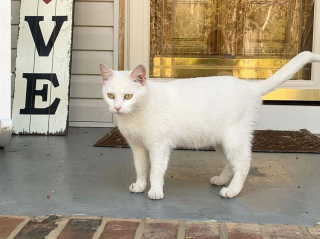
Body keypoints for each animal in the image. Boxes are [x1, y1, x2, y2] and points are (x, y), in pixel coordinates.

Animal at [99, 51, 320, 200]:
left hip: (234, 139)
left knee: (243, 164)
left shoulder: (158, 147)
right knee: (231, 164)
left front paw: (155, 191)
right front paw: (140, 186)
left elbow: (155, 171)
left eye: (128, 96)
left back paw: (232, 191)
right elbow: (141, 168)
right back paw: (222, 181)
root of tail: (250, 86)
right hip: (221, 143)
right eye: (110, 95)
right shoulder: (137, 147)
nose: (117, 107)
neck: (135, 114)